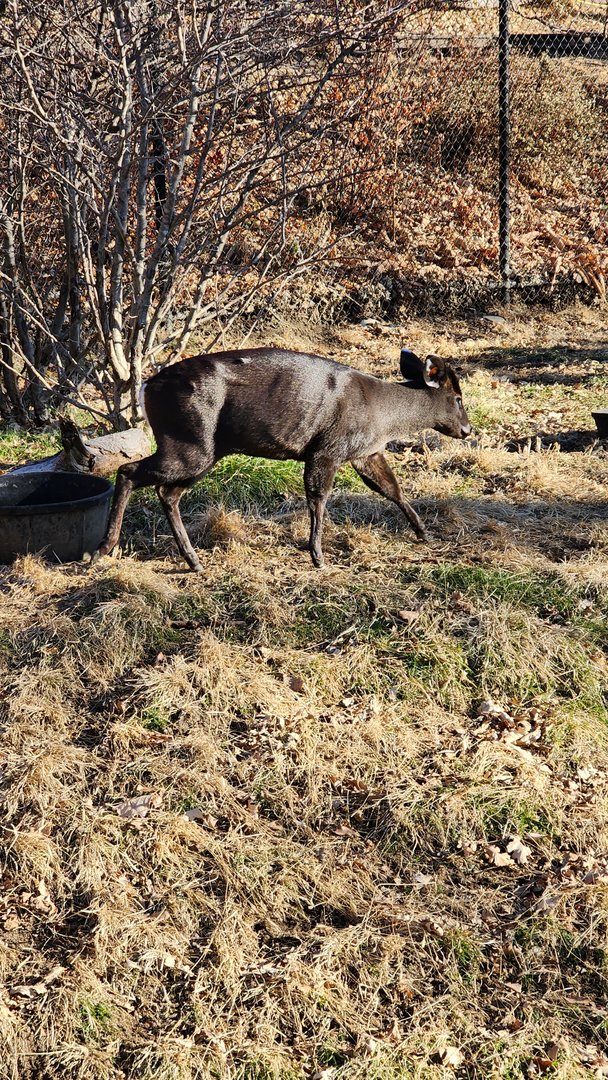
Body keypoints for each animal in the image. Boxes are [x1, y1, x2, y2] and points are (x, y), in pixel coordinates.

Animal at [93, 346, 471, 572]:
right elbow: (318, 498)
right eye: (457, 397)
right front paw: (318, 556)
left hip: (197, 449)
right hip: (190, 443)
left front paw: (423, 533)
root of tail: (146, 388)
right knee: (129, 471)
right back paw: (104, 548)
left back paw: (193, 560)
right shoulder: (326, 448)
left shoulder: (365, 453)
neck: (383, 413)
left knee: (166, 492)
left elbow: (392, 489)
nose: (468, 430)